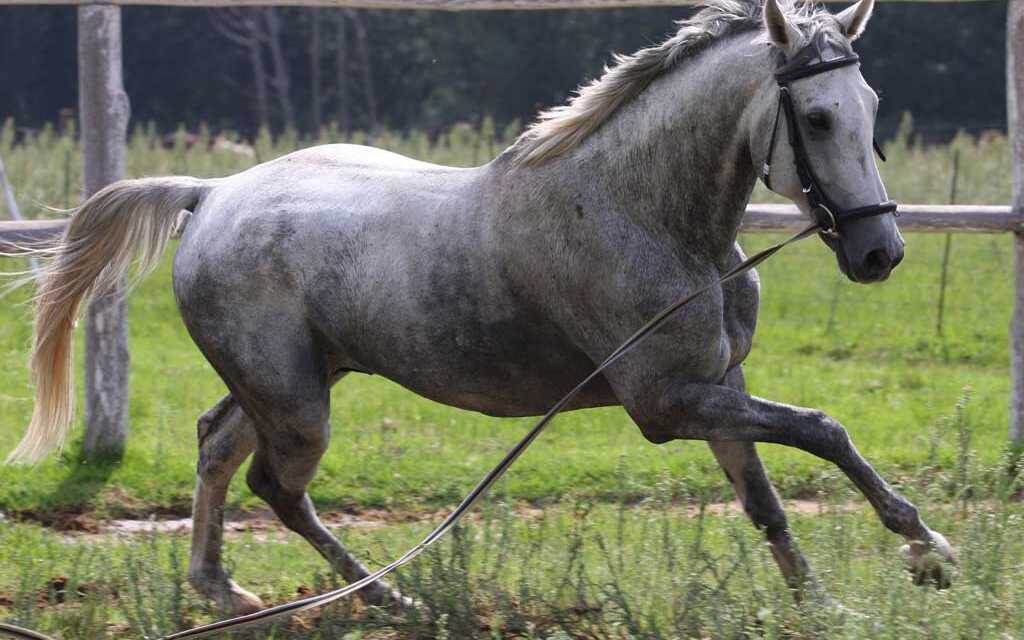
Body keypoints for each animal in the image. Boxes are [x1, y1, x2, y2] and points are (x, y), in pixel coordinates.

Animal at [7, 0, 955, 614]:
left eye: (871, 107)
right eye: (818, 116)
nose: (880, 253)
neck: (645, 213)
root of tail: (210, 196)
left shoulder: (720, 385)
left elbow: (766, 501)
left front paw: (827, 604)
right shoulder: (665, 404)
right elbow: (823, 428)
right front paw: (929, 552)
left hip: (292, 382)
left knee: (214, 444)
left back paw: (229, 591)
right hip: (298, 403)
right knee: (274, 485)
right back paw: (391, 599)